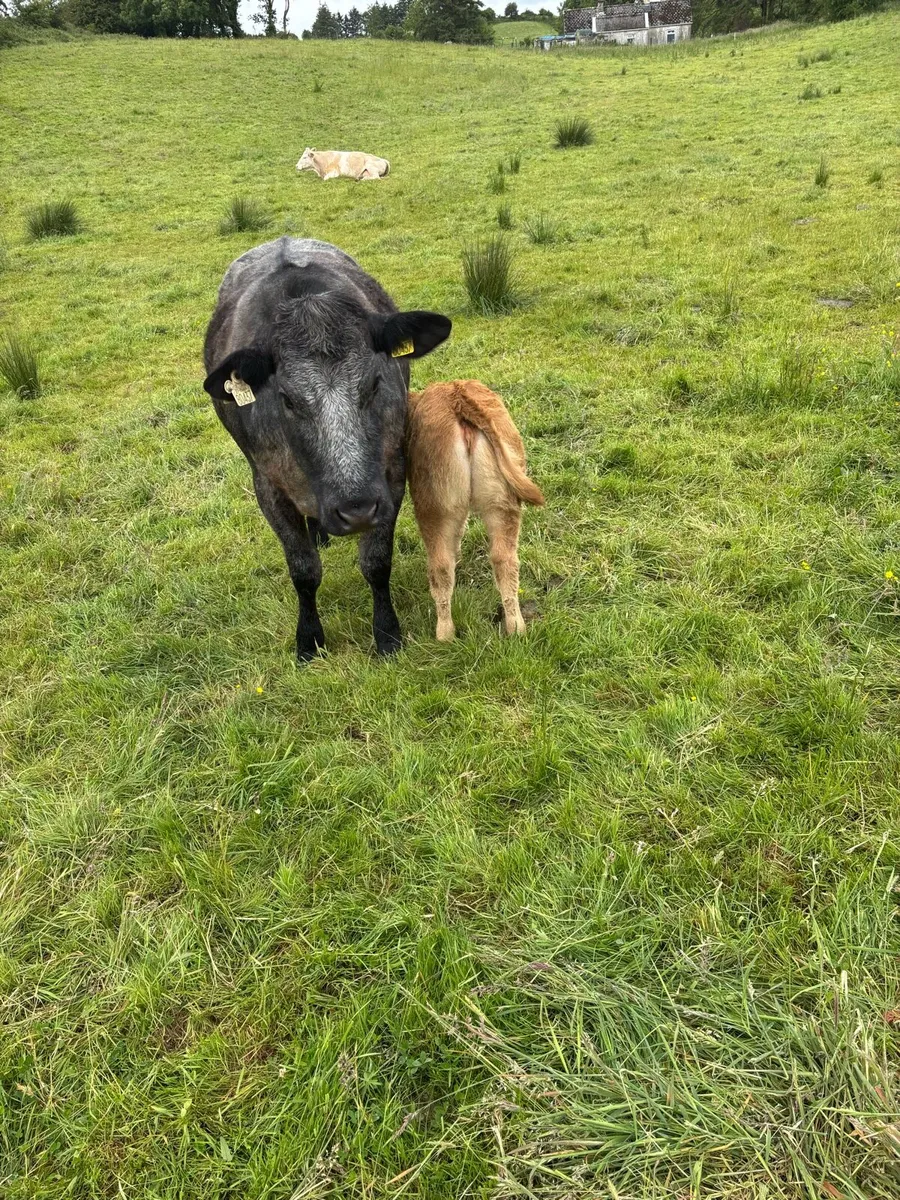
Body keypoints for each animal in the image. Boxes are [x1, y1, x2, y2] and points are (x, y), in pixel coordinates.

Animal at [203, 237, 451, 660]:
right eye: (286, 399)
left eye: (375, 383)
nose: (356, 510)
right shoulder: (268, 486)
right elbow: (304, 570)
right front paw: (309, 639)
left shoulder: (391, 474)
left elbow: (376, 562)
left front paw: (387, 633)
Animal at [405, 380, 544, 642]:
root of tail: (457, 393)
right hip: (502, 503)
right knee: (504, 560)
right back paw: (515, 627)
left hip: (434, 507)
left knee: (440, 566)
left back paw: (445, 634)